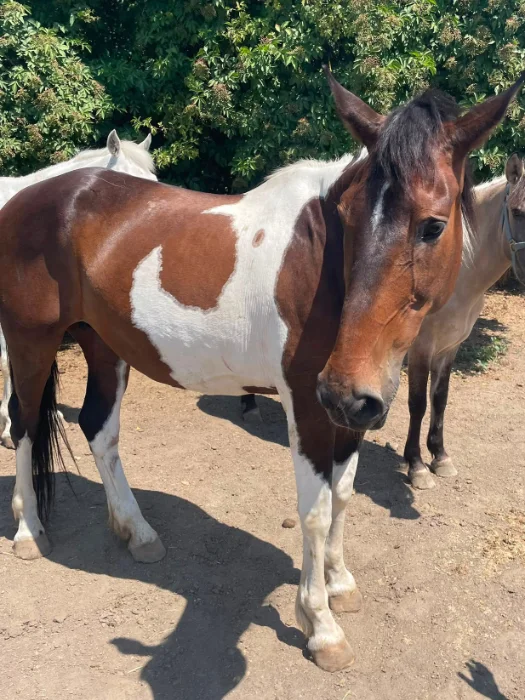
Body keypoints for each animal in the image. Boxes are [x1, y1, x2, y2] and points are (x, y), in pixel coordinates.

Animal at [404, 152, 525, 489]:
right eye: (517, 212)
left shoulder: (449, 347)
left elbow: (440, 398)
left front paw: (440, 456)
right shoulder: (420, 348)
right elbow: (417, 402)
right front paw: (416, 466)